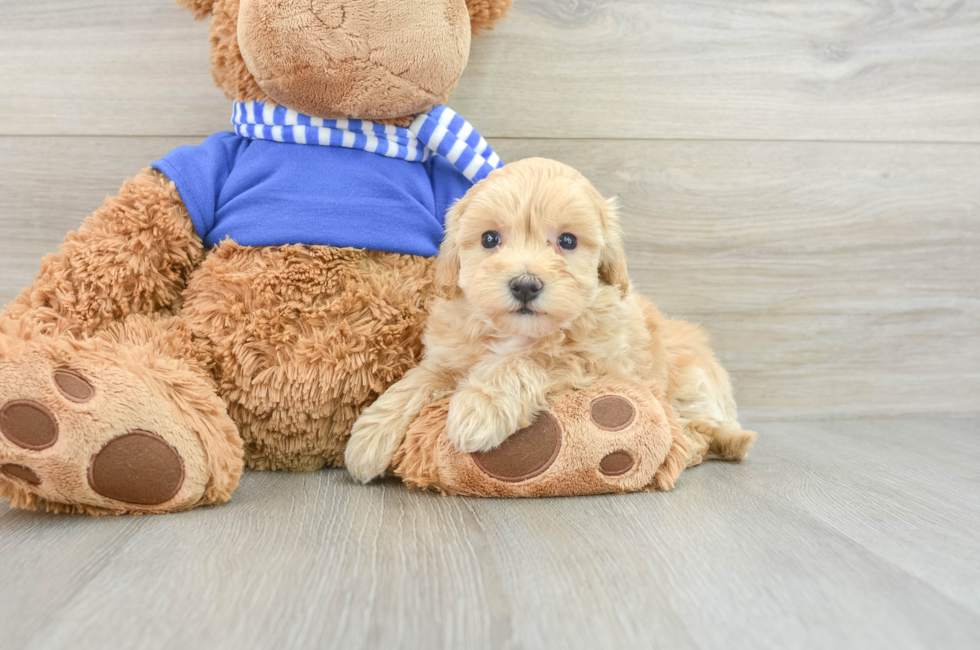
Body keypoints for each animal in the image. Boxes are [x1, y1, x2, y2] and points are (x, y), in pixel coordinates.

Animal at [346, 157, 756, 480]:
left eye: (568, 241)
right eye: (490, 238)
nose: (526, 285)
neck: (517, 331)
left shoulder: (595, 361)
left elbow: (532, 359)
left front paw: (478, 407)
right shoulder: (450, 356)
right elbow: (419, 381)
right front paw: (369, 436)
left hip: (689, 380)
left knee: (702, 430)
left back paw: (687, 448)